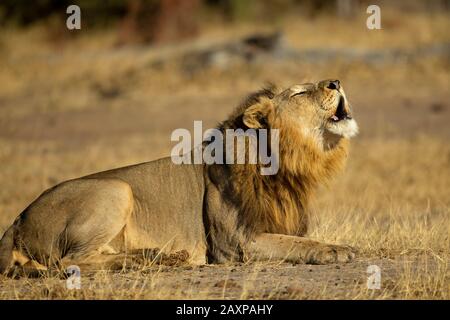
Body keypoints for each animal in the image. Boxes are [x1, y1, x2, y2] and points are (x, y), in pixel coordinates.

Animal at [0, 79, 358, 274]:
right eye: (299, 94)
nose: (336, 82)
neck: (285, 161)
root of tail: (17, 220)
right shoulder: (234, 244)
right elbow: (295, 244)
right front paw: (337, 250)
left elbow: (298, 238)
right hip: (118, 188)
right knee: (69, 262)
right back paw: (148, 262)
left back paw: (163, 257)